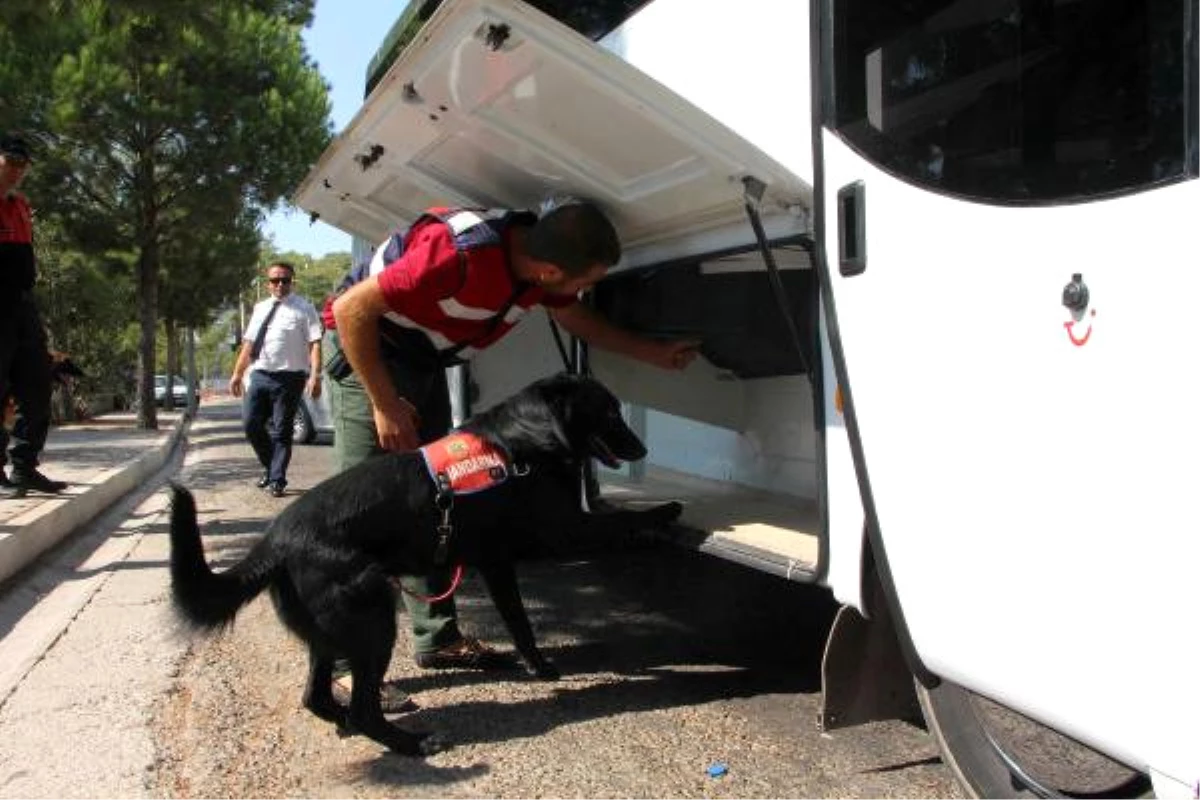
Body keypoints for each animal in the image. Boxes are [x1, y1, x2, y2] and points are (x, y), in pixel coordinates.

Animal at [168, 376, 681, 758]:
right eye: (610, 412)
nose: (642, 450)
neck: (523, 440)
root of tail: (274, 540)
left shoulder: (498, 563)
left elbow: (520, 623)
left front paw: (535, 665)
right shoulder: (563, 533)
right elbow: (620, 522)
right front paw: (664, 514)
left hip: (329, 634)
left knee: (316, 697)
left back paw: (346, 724)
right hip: (373, 617)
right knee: (363, 709)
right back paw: (411, 743)